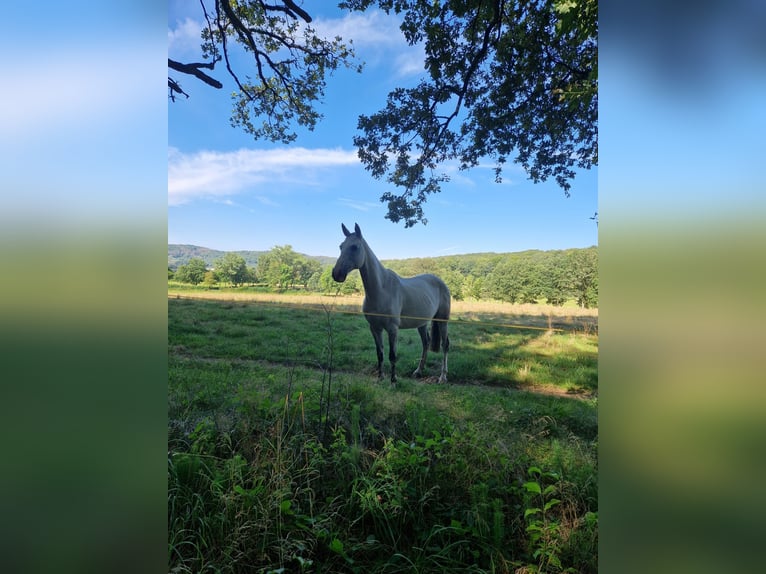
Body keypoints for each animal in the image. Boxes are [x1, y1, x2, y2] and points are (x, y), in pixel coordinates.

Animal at [332, 225, 452, 388]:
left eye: (354, 247)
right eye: (341, 246)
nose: (336, 274)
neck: (381, 289)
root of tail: (441, 282)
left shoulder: (392, 329)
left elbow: (392, 355)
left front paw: (393, 381)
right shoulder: (375, 328)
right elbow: (380, 353)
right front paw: (380, 377)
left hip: (442, 321)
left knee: (445, 345)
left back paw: (442, 377)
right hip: (421, 323)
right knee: (425, 343)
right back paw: (418, 371)